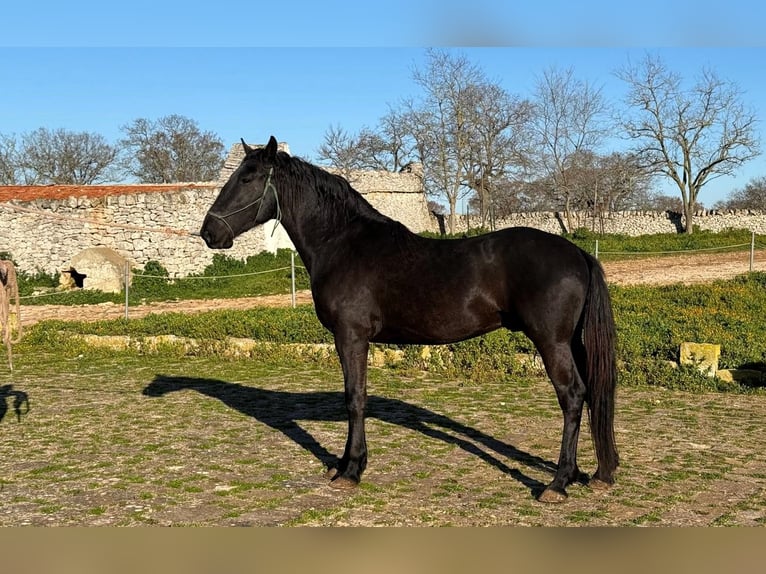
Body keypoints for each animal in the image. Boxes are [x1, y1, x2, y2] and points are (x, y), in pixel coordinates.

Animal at [201, 136, 620, 504]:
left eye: (248, 178)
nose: (209, 232)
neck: (343, 244)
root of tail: (578, 253)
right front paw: (342, 464)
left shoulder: (351, 336)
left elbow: (355, 397)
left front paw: (351, 470)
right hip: (574, 343)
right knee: (590, 394)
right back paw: (593, 474)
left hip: (552, 342)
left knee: (572, 396)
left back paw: (558, 483)